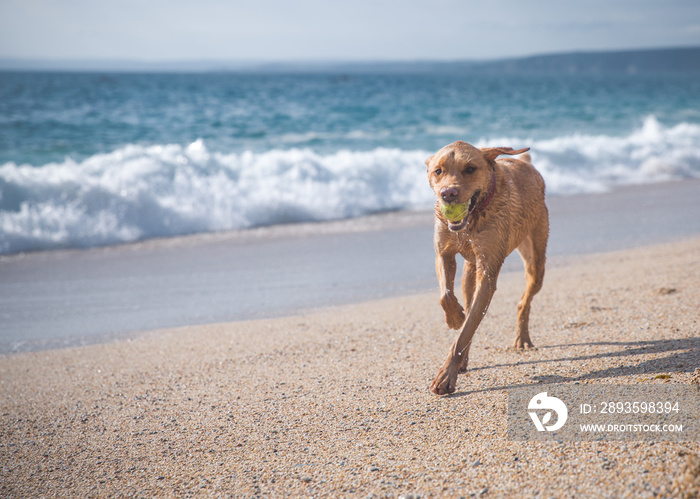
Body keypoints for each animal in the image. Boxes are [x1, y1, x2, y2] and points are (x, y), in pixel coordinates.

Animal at [424, 143, 548, 396]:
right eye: (438, 171)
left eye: (470, 169)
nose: (448, 194)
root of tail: (526, 163)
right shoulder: (444, 253)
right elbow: (446, 297)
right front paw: (455, 318)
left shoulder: (488, 273)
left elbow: (465, 331)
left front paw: (445, 376)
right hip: (470, 271)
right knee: (468, 298)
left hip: (536, 259)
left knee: (524, 300)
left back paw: (522, 338)